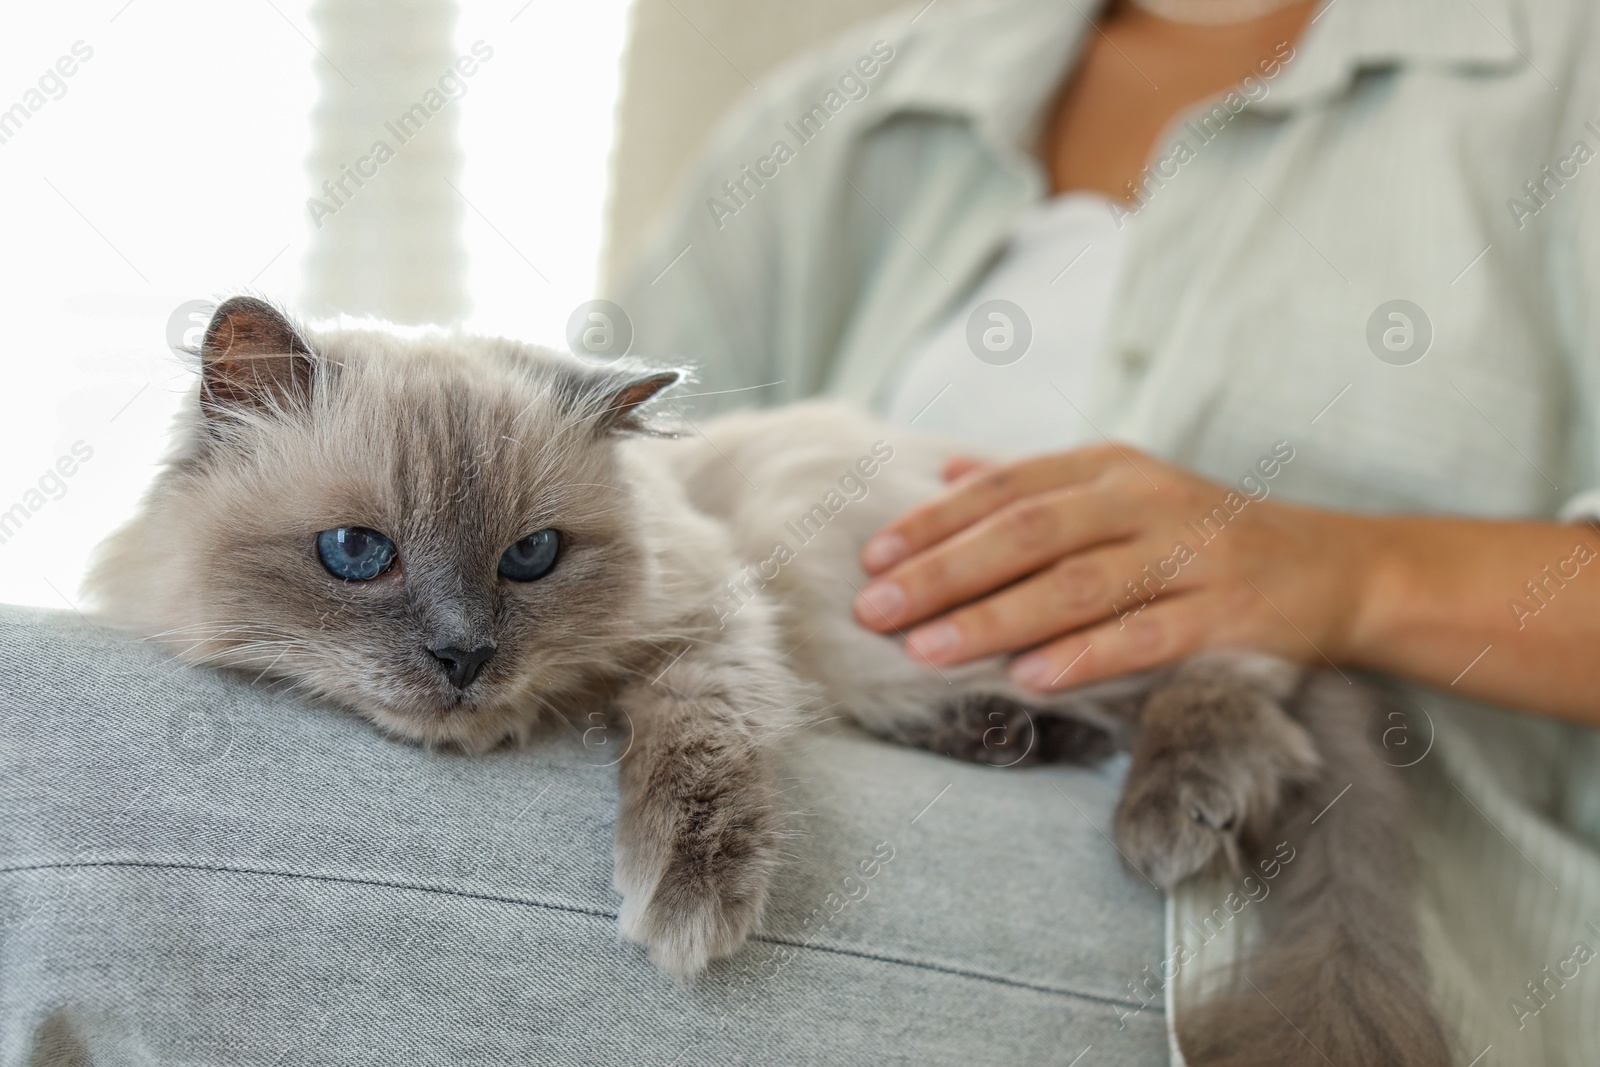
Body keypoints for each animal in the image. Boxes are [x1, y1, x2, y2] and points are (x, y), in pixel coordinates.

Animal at [87, 299, 1459, 1067]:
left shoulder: (716, 620)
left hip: (898, 623)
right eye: (356, 554)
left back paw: (1176, 801)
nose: (465, 656)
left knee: (1246, 664)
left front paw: (691, 902)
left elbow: (696, 756)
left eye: (529, 557)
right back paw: (1014, 737)